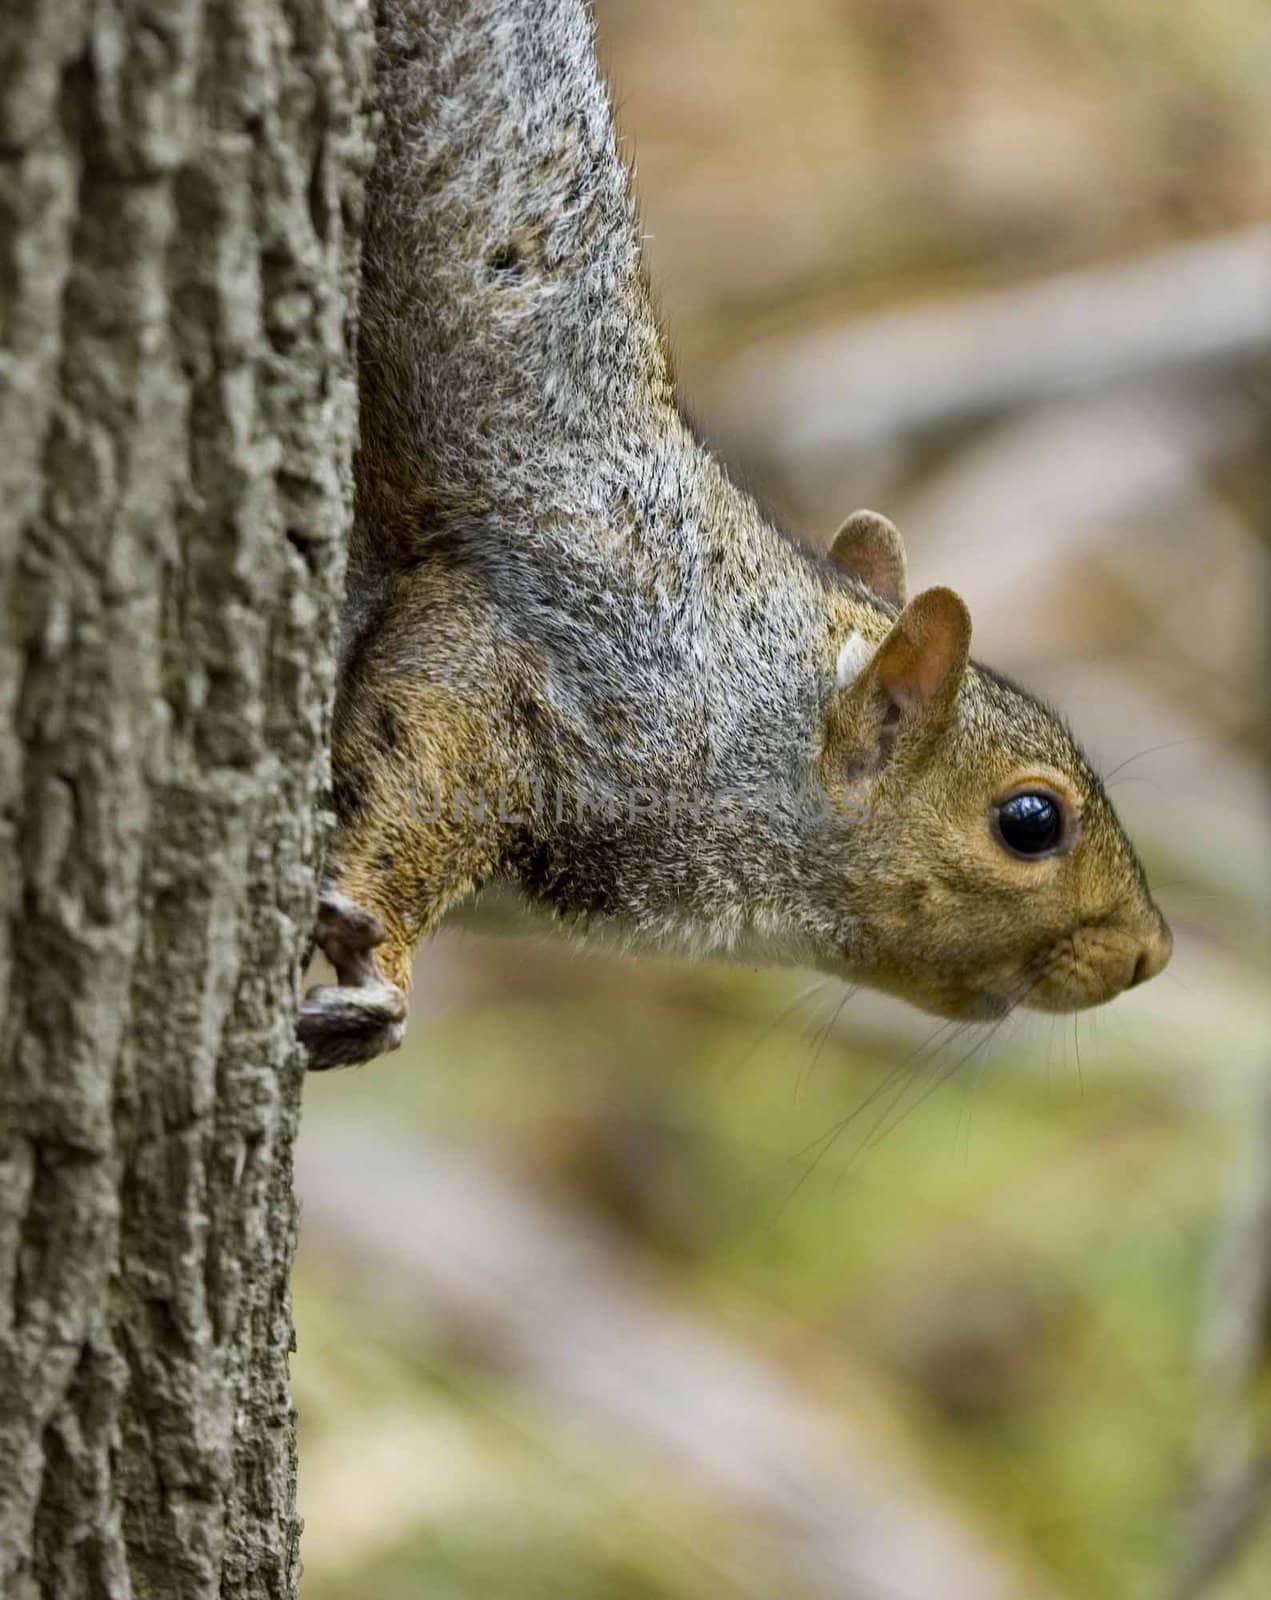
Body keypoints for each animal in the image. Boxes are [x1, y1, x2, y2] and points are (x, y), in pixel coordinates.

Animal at [297, 3, 1171, 1075]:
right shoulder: (555, 652)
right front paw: (379, 957)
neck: (749, 696)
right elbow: (427, 754)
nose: (1150, 954)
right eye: (1030, 822)